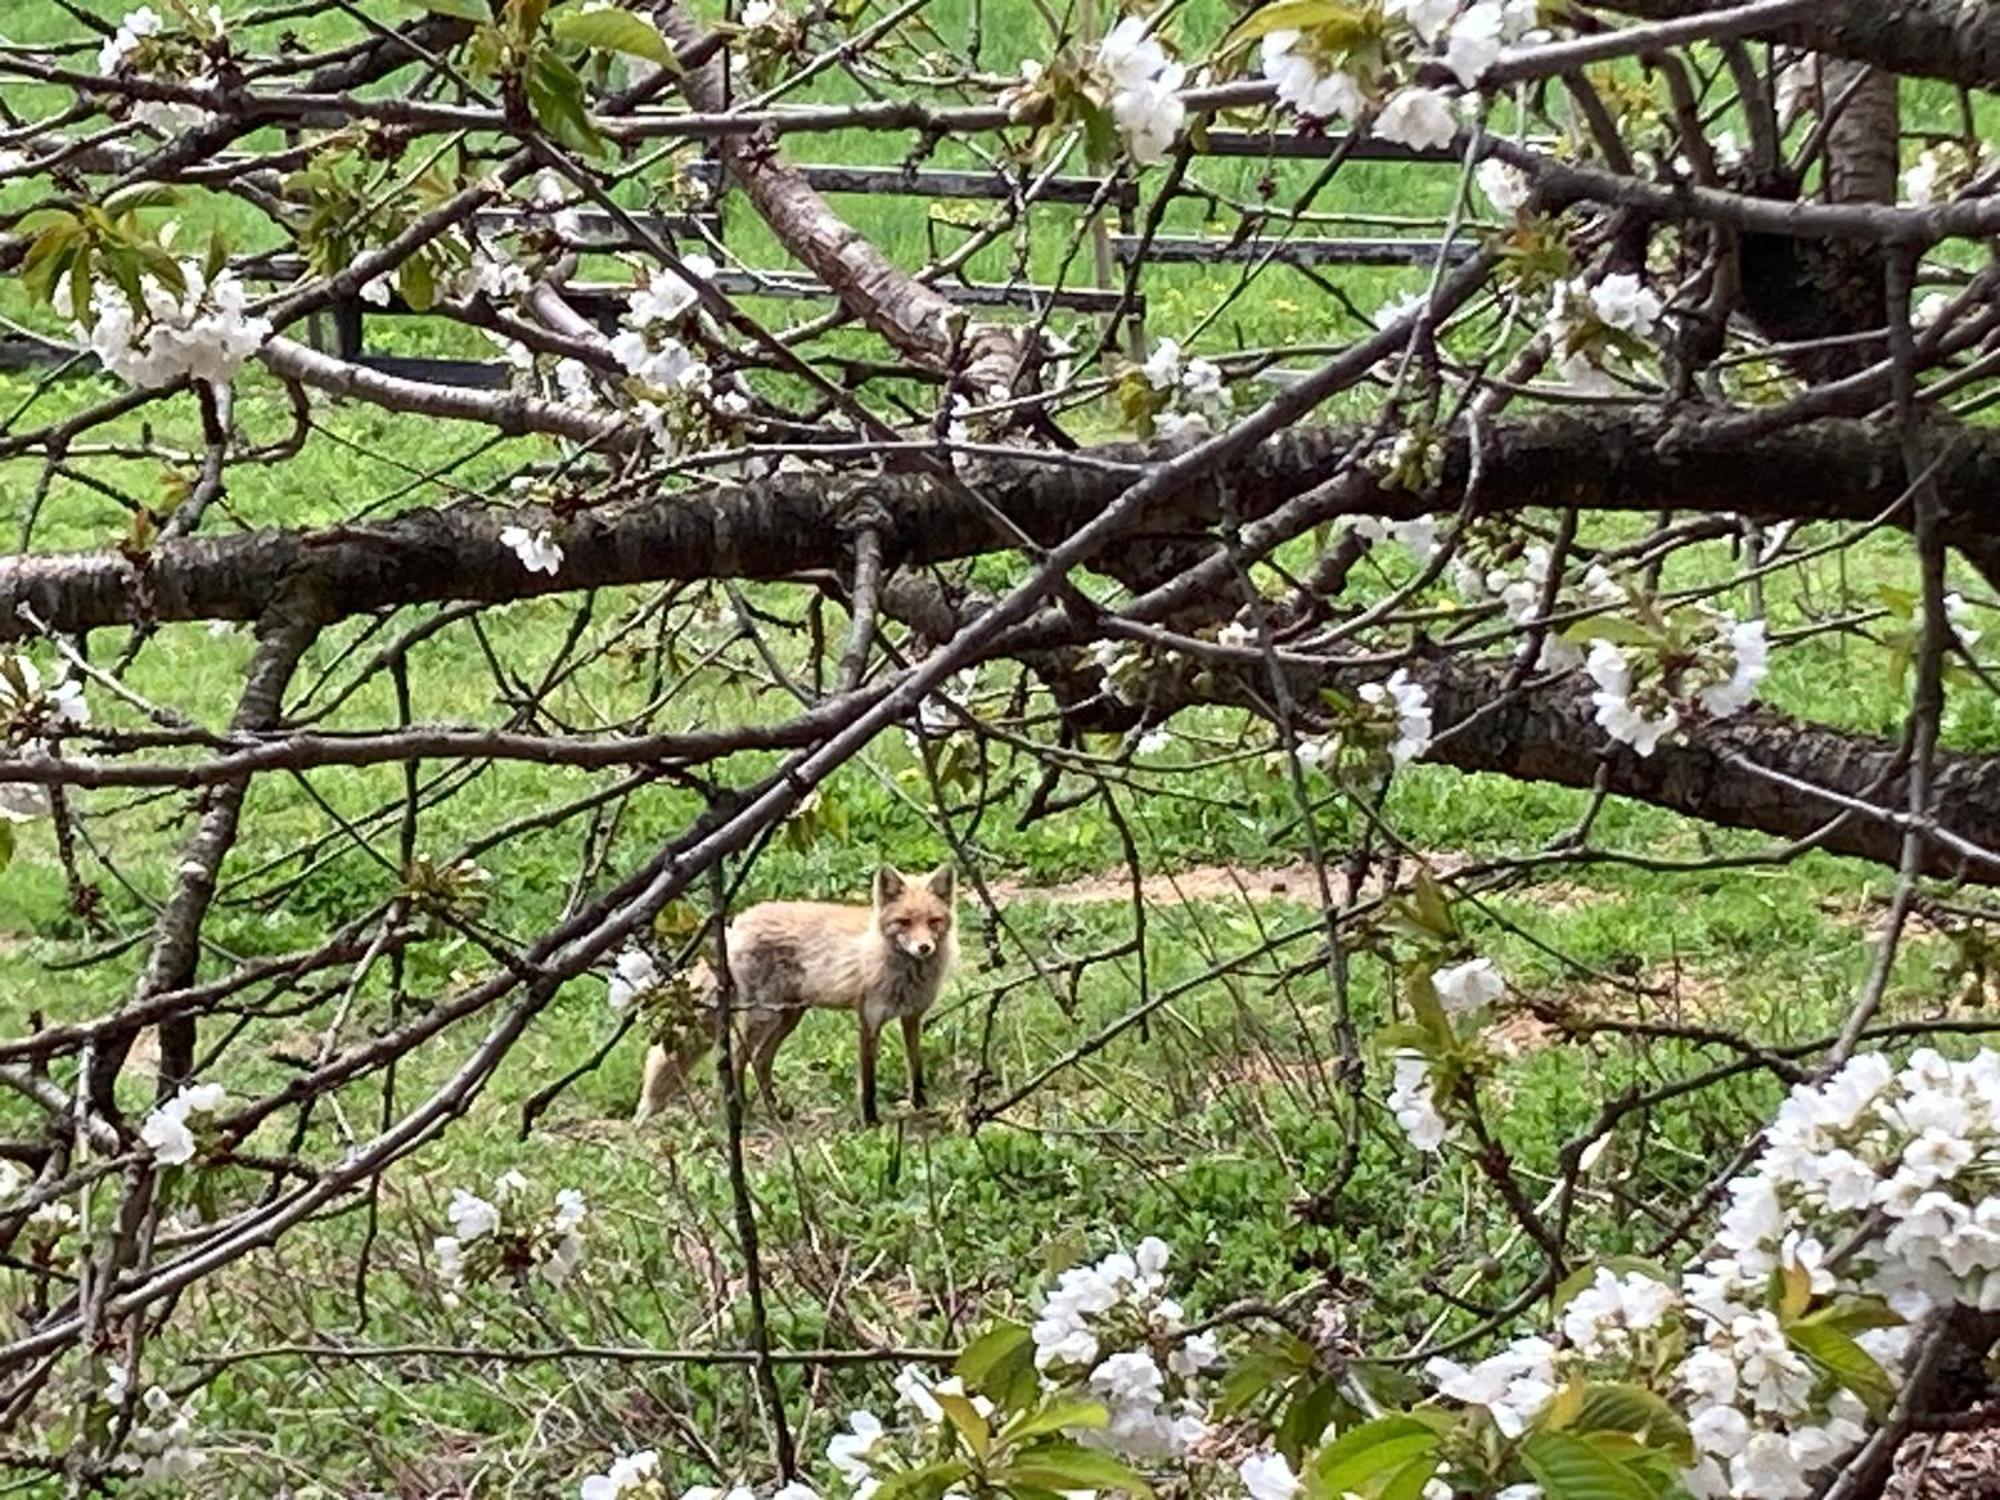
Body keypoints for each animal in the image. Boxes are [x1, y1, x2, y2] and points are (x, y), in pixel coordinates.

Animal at [632, 868, 960, 1128]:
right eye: (904, 922)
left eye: (934, 921)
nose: (924, 948)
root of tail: (736, 923)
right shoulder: (869, 1019)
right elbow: (868, 1082)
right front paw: (870, 1122)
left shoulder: (912, 1016)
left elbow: (915, 1066)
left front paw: (921, 1105)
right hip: (764, 1015)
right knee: (736, 1057)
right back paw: (742, 1109)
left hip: (789, 1016)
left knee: (760, 1060)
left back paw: (774, 1110)